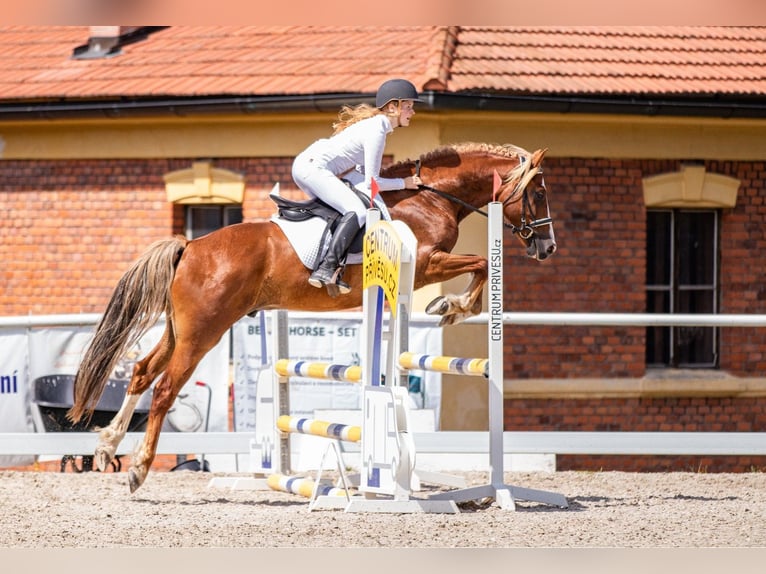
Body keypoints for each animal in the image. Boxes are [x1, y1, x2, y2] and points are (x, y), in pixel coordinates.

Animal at [67, 142, 560, 492]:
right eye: (538, 193)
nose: (547, 247)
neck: (430, 200)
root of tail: (190, 248)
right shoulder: (426, 264)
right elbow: (482, 264)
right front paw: (452, 308)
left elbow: (479, 266)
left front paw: (450, 308)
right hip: (202, 333)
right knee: (166, 387)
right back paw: (138, 470)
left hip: (179, 331)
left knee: (141, 372)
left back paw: (107, 446)